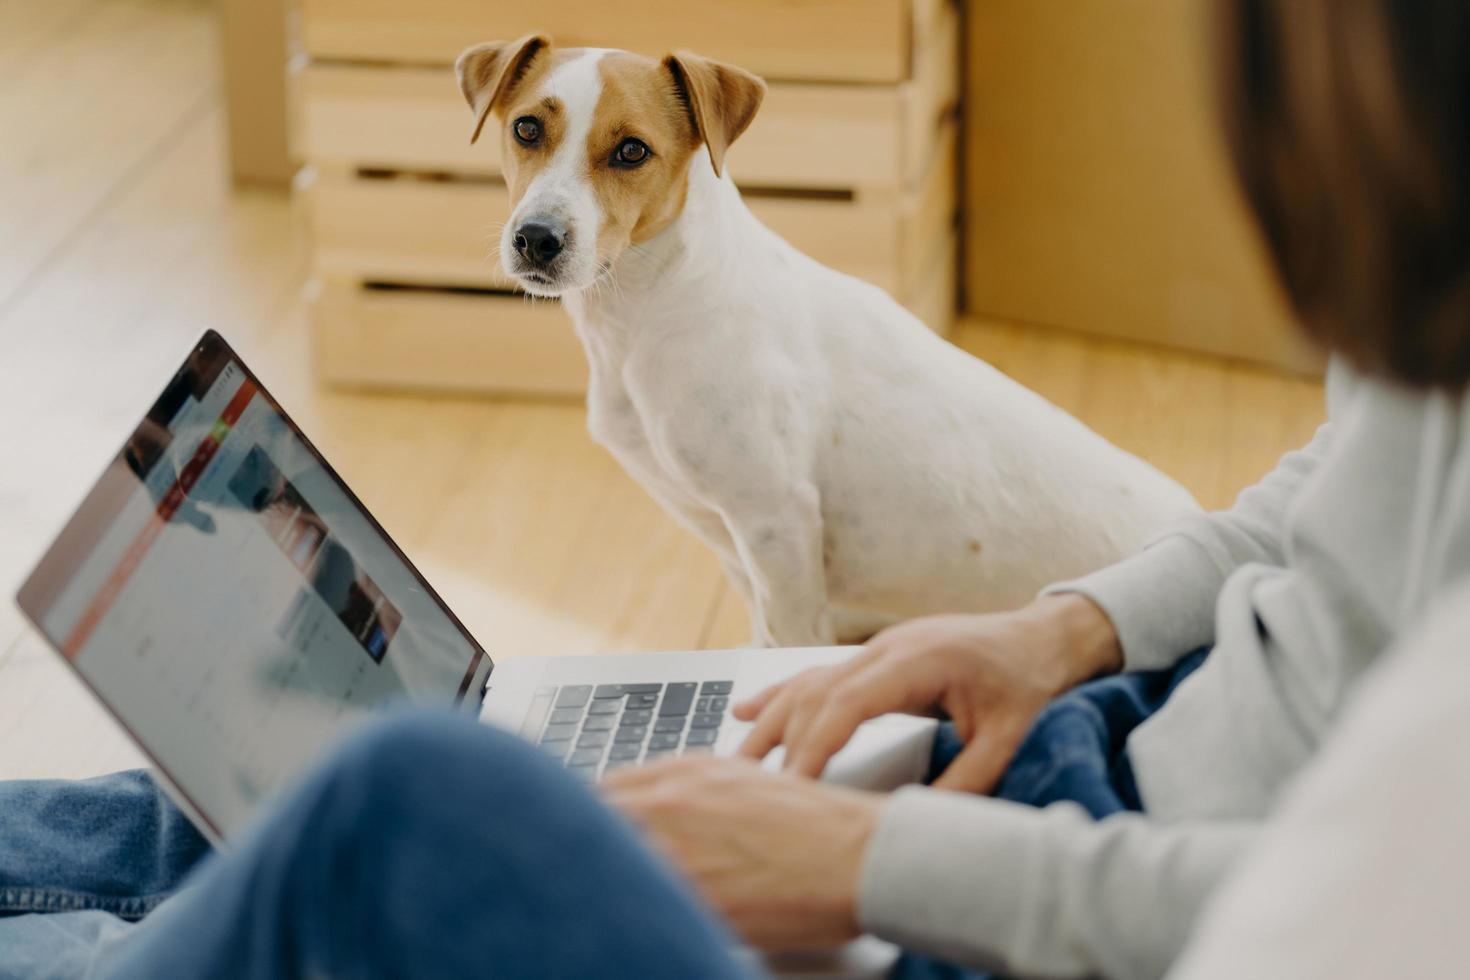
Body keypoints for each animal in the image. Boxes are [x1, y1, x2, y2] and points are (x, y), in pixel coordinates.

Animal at [452, 40, 1199, 652]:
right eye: (526, 128)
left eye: (631, 150)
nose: (537, 239)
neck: (648, 311)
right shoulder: (728, 532)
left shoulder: (775, 521)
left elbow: (790, 641)